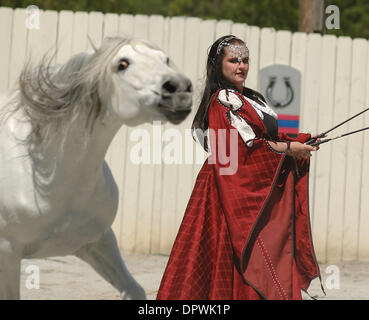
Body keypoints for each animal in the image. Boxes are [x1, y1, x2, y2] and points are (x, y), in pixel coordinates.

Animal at [0, 37, 193, 300]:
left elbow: (134, 289)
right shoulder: (7, 252)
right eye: (122, 64)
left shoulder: (97, 241)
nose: (180, 89)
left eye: (165, 59)